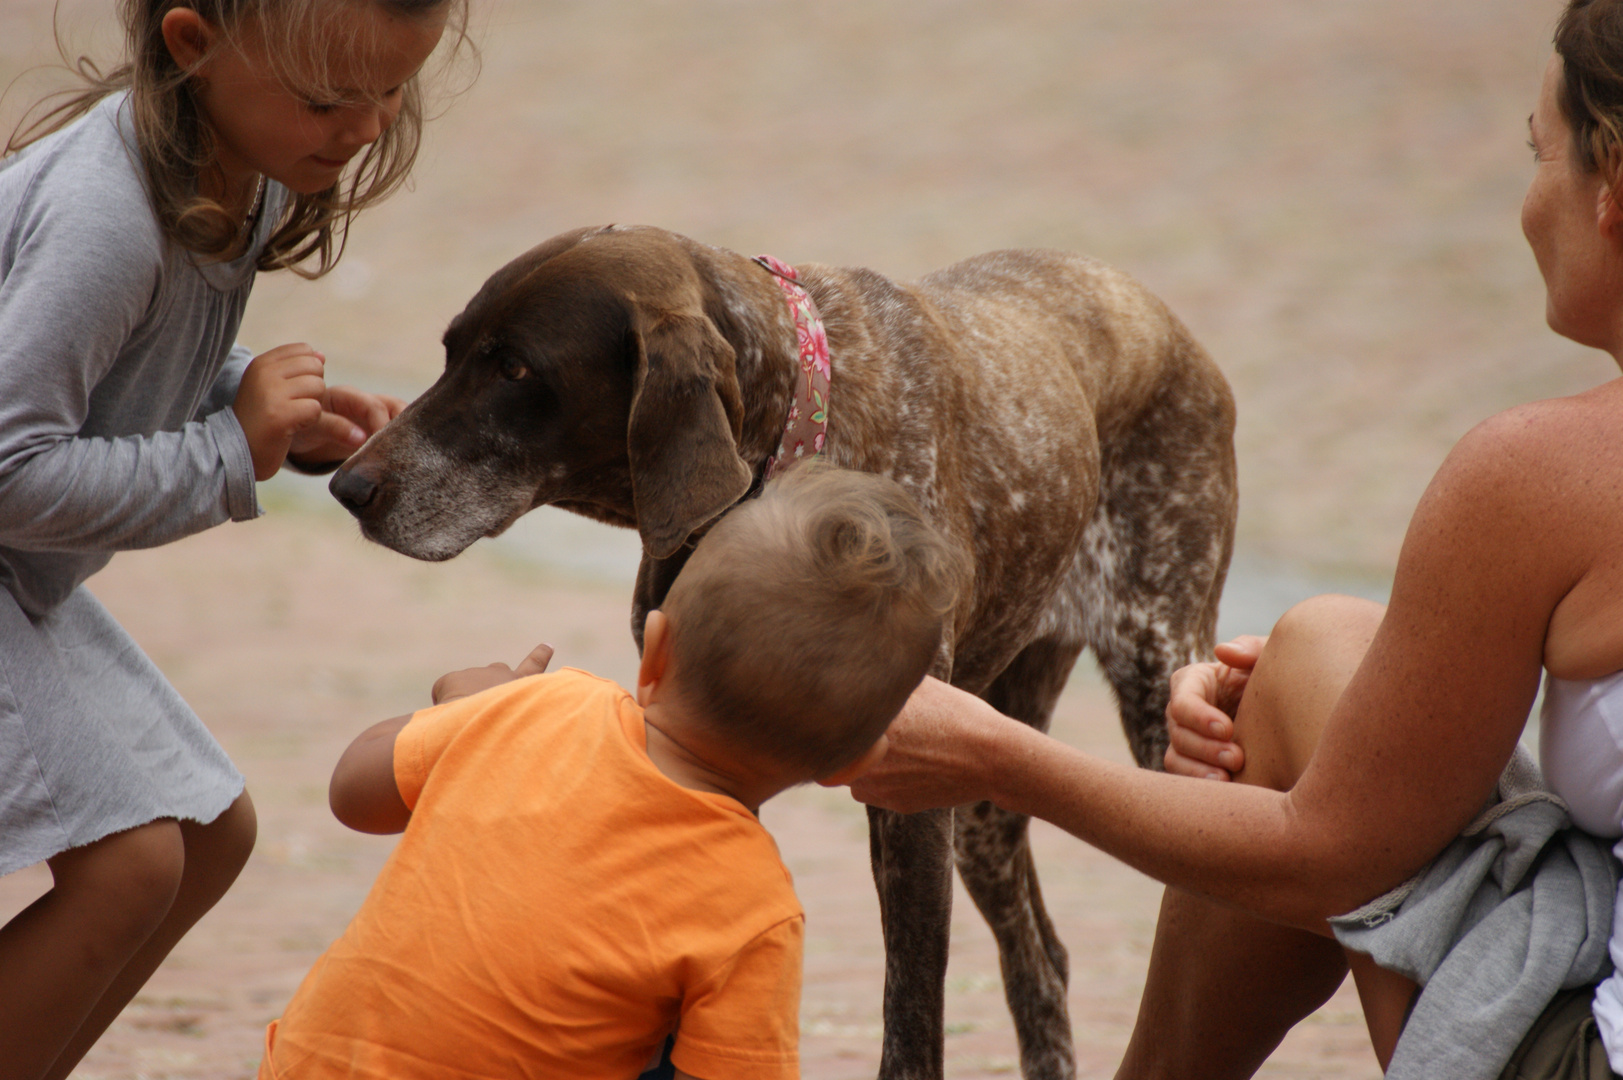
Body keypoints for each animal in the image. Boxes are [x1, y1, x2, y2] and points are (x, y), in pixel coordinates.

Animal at [332, 225, 1239, 1078]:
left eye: (514, 369)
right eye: (452, 349)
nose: (346, 487)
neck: (785, 449)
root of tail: (1158, 313)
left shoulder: (911, 801)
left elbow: (911, 1017)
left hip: (1158, 694)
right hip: (990, 792)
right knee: (1041, 965)